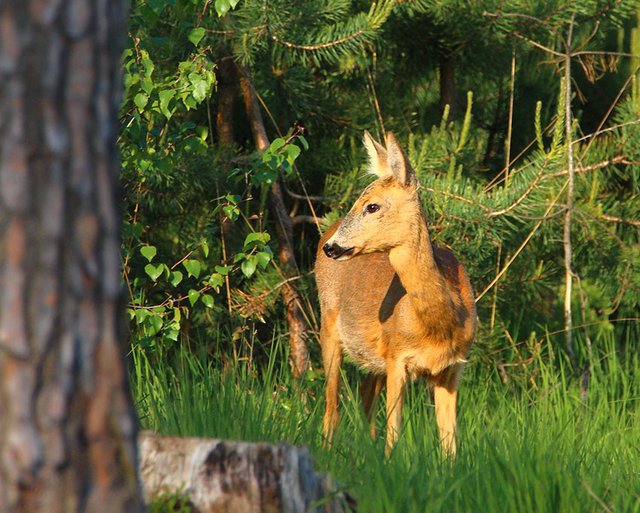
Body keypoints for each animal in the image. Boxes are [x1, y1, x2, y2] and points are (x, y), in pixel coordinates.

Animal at [316, 132, 476, 456]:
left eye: (372, 206)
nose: (332, 247)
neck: (437, 325)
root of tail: (327, 229)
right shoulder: (397, 357)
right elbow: (395, 432)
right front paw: (392, 463)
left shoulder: (453, 368)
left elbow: (450, 444)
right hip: (328, 326)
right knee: (332, 407)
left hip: (374, 360)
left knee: (364, 397)